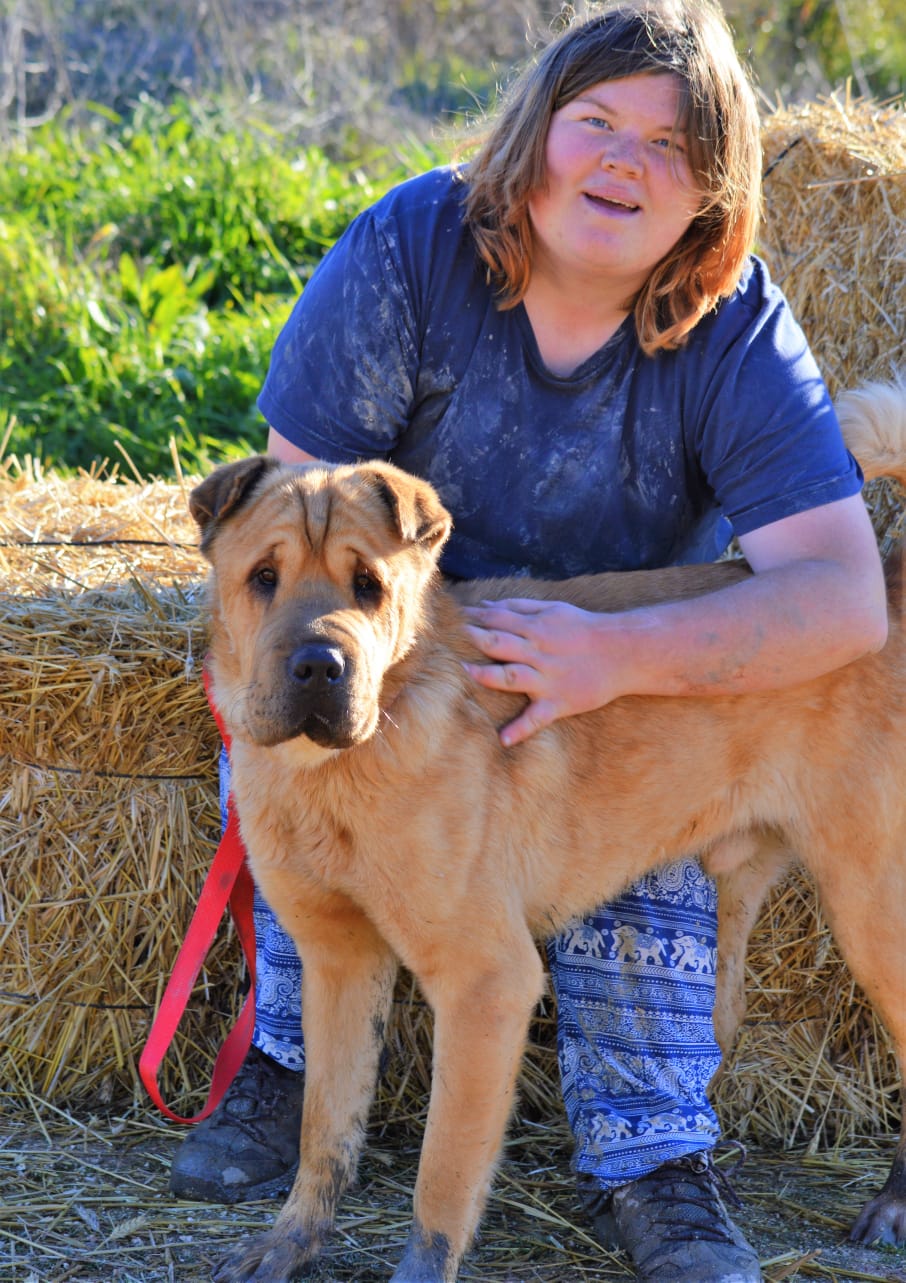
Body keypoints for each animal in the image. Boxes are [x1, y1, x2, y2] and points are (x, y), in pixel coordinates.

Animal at [188, 379, 903, 1283]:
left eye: (368, 585)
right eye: (264, 577)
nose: (321, 665)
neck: (349, 763)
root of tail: (890, 579)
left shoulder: (486, 982)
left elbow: (443, 1172)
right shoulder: (339, 959)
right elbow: (327, 1130)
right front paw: (290, 1241)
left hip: (873, 911)